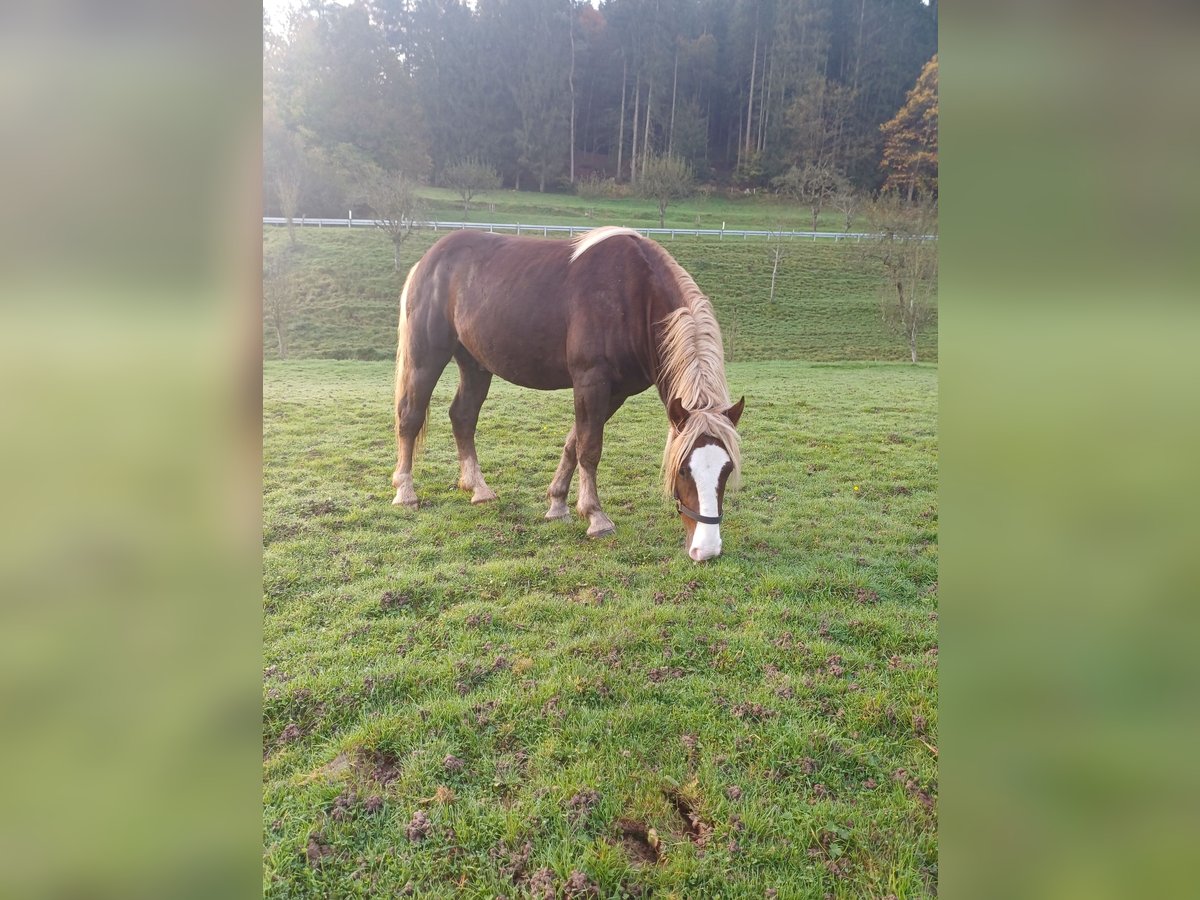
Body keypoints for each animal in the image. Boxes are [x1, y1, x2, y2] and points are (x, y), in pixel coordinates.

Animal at [388, 225, 744, 561]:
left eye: (726, 469)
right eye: (683, 470)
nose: (707, 549)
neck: (633, 294)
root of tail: (427, 260)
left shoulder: (615, 393)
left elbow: (575, 443)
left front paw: (557, 504)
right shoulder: (590, 381)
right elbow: (590, 449)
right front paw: (595, 516)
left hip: (475, 365)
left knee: (463, 417)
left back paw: (478, 488)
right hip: (426, 357)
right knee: (410, 417)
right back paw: (405, 492)